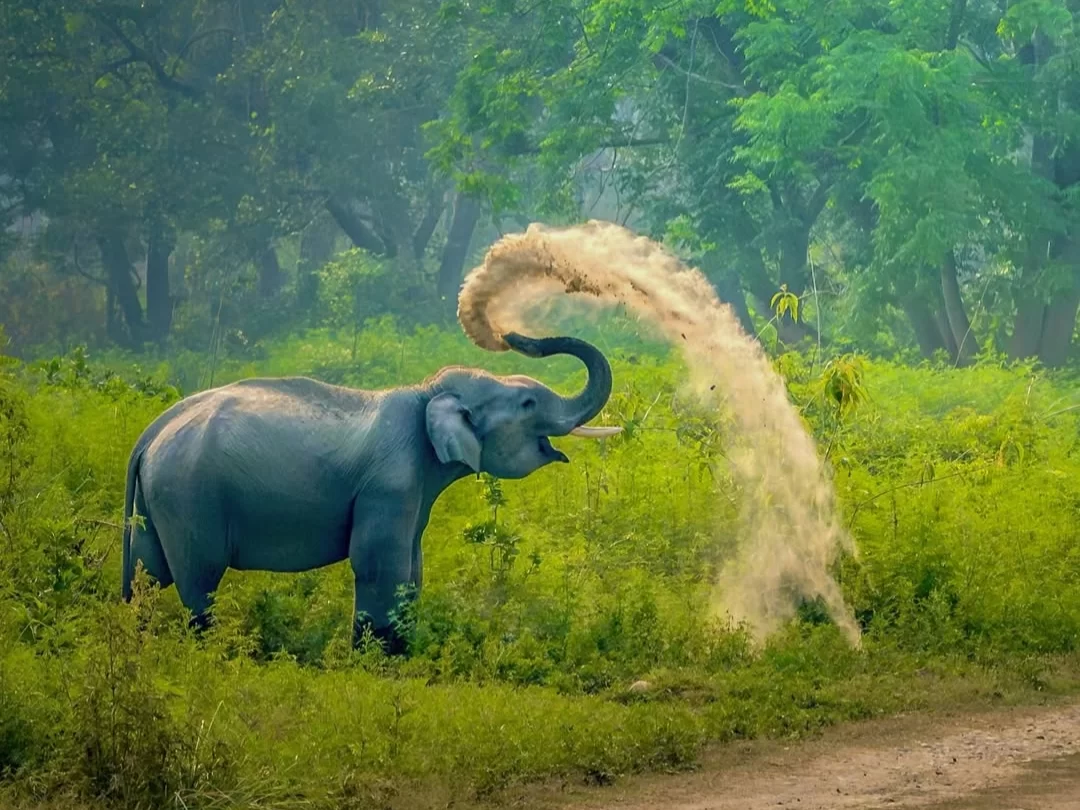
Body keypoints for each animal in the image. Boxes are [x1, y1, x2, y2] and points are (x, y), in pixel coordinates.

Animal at [120, 332, 620, 653]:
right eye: (528, 403)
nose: (516, 335)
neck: (424, 393)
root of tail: (148, 436)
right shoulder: (389, 483)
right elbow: (380, 564)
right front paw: (373, 660)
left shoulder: (413, 487)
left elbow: (412, 569)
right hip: (190, 497)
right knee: (198, 580)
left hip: (157, 502)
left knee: (149, 575)